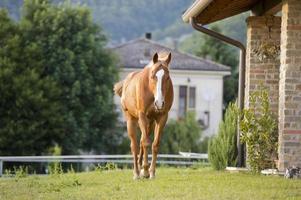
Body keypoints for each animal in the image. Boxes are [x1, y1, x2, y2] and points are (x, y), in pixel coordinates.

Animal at [113, 52, 172, 180]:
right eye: (153, 75)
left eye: (167, 77)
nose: (159, 103)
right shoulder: (142, 116)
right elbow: (146, 143)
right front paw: (145, 171)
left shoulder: (162, 117)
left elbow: (155, 144)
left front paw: (152, 172)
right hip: (132, 120)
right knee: (134, 145)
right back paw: (136, 173)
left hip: (150, 123)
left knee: (141, 141)